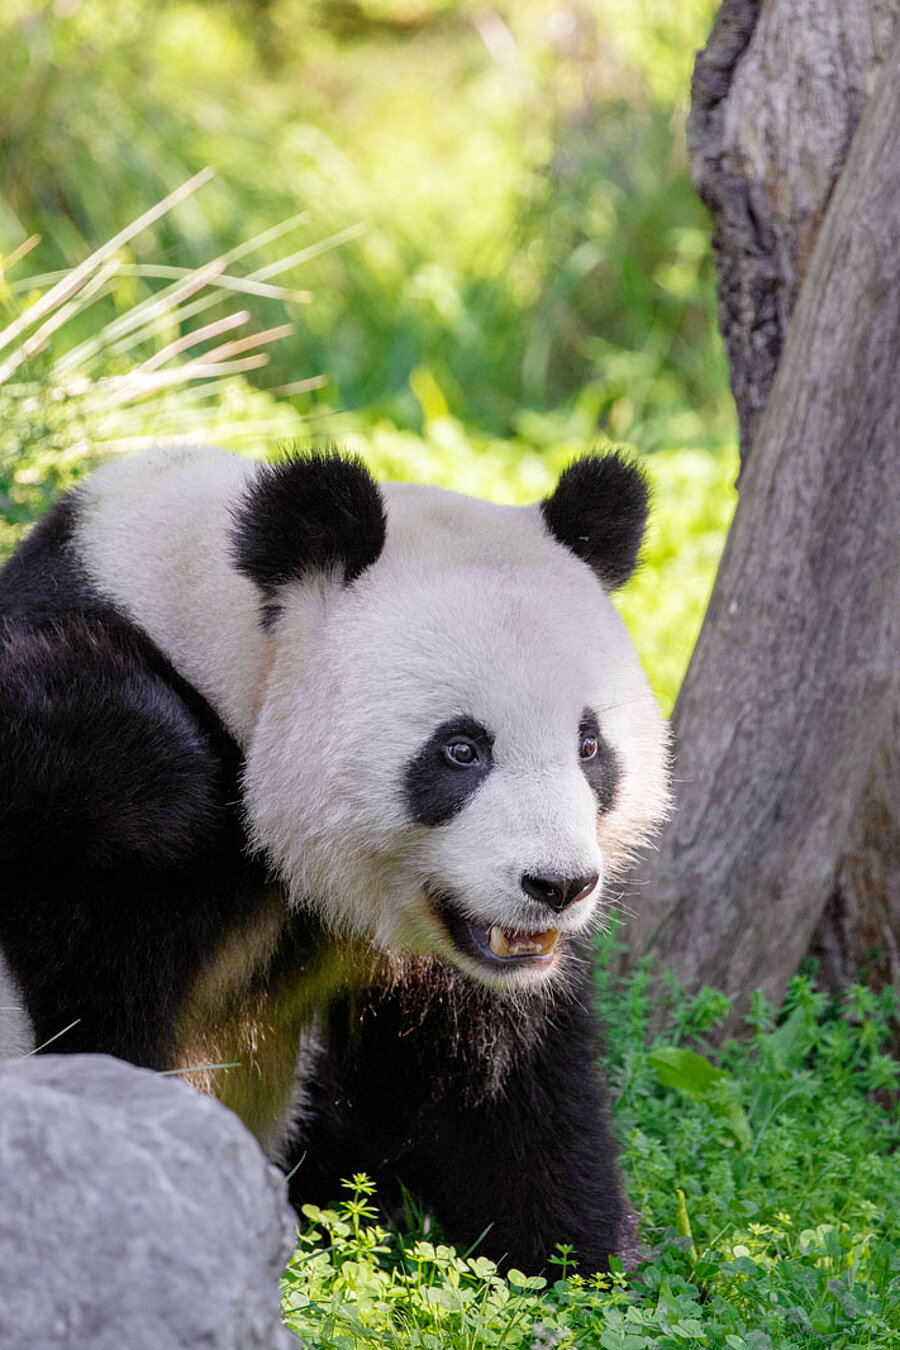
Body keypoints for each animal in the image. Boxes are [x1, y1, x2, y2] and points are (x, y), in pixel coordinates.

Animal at [0, 444, 669, 1274]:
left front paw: (589, 1268)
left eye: (589, 746)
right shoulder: (101, 883)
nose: (558, 885)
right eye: (461, 750)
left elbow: (496, 1091)